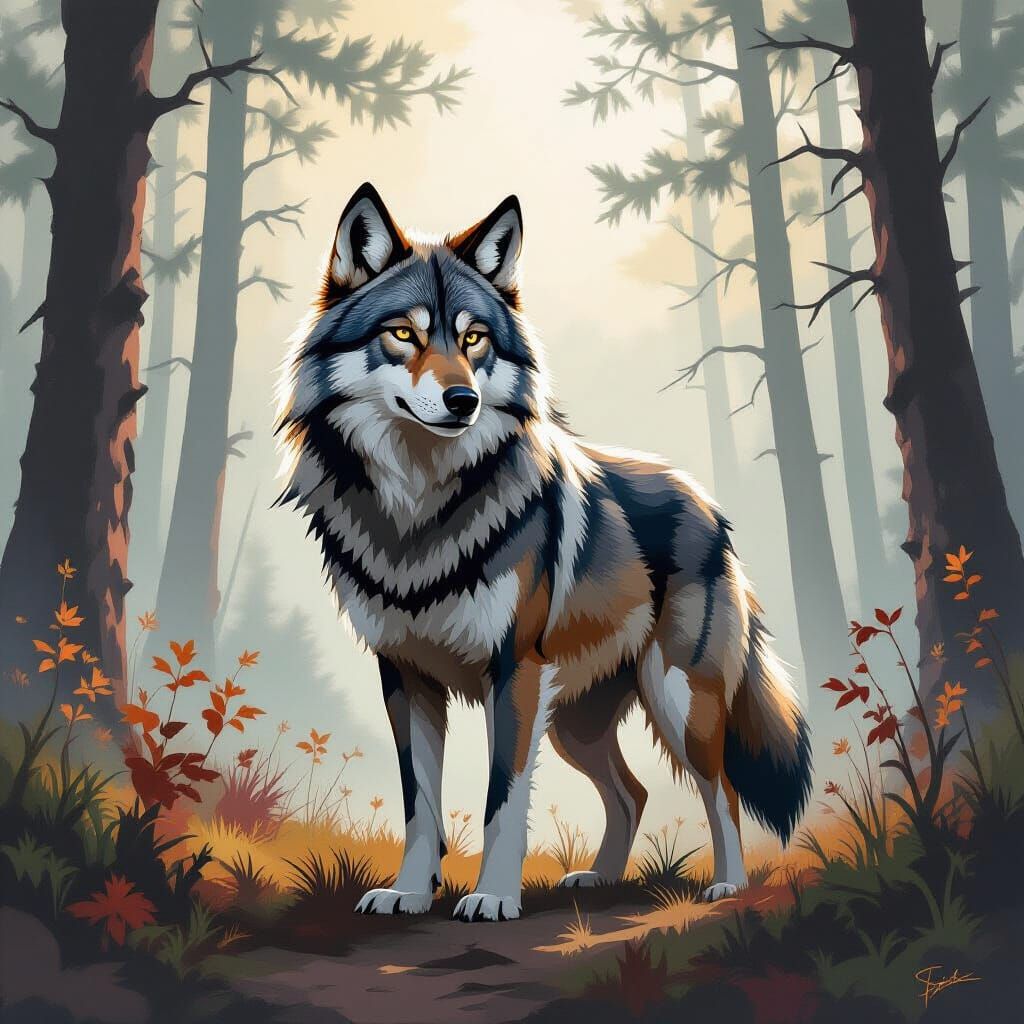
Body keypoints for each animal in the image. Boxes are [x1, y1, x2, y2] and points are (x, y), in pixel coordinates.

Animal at [276, 183, 811, 922]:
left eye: (473, 338)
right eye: (403, 334)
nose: (462, 400)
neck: (419, 509)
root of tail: (709, 504)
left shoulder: (515, 674)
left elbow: (503, 799)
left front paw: (494, 897)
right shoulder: (405, 677)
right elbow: (421, 804)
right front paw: (409, 892)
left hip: (676, 701)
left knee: (721, 791)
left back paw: (727, 886)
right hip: (575, 725)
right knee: (633, 793)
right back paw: (601, 878)